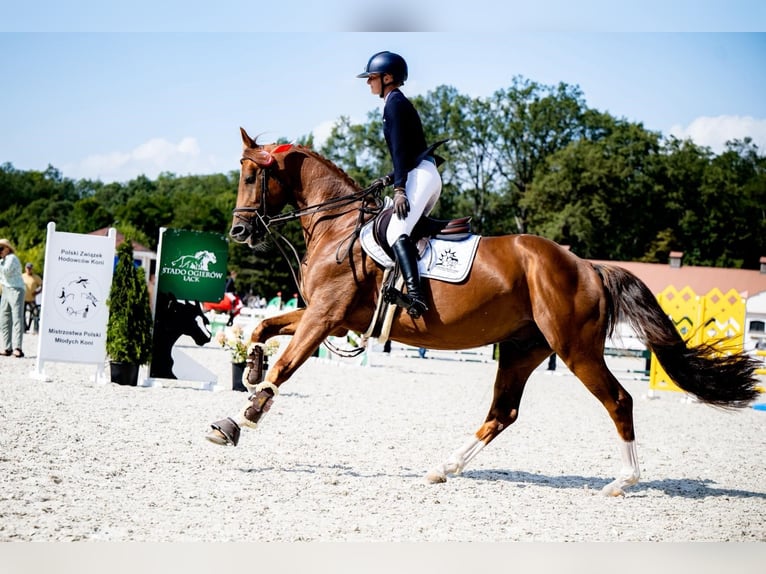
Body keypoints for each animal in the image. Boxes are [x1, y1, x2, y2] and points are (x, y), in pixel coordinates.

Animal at [205, 128, 761, 496]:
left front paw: (240, 418)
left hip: (575, 349)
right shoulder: (328, 316)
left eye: (252, 175)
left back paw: (623, 481)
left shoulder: (326, 317)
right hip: (521, 348)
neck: (338, 226)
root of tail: (586, 266)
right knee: (503, 412)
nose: (238, 231)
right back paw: (445, 467)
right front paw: (248, 369)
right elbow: (262, 326)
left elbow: (285, 363)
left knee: (618, 400)